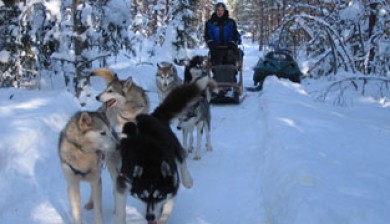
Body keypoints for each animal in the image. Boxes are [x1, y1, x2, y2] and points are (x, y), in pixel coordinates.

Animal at [115, 76, 216, 223]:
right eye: (142, 196)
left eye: (159, 196)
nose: (149, 217)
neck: (150, 160)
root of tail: (154, 116)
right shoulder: (125, 179)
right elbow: (120, 209)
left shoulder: (172, 187)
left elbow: (166, 211)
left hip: (173, 143)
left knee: (181, 157)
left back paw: (188, 180)